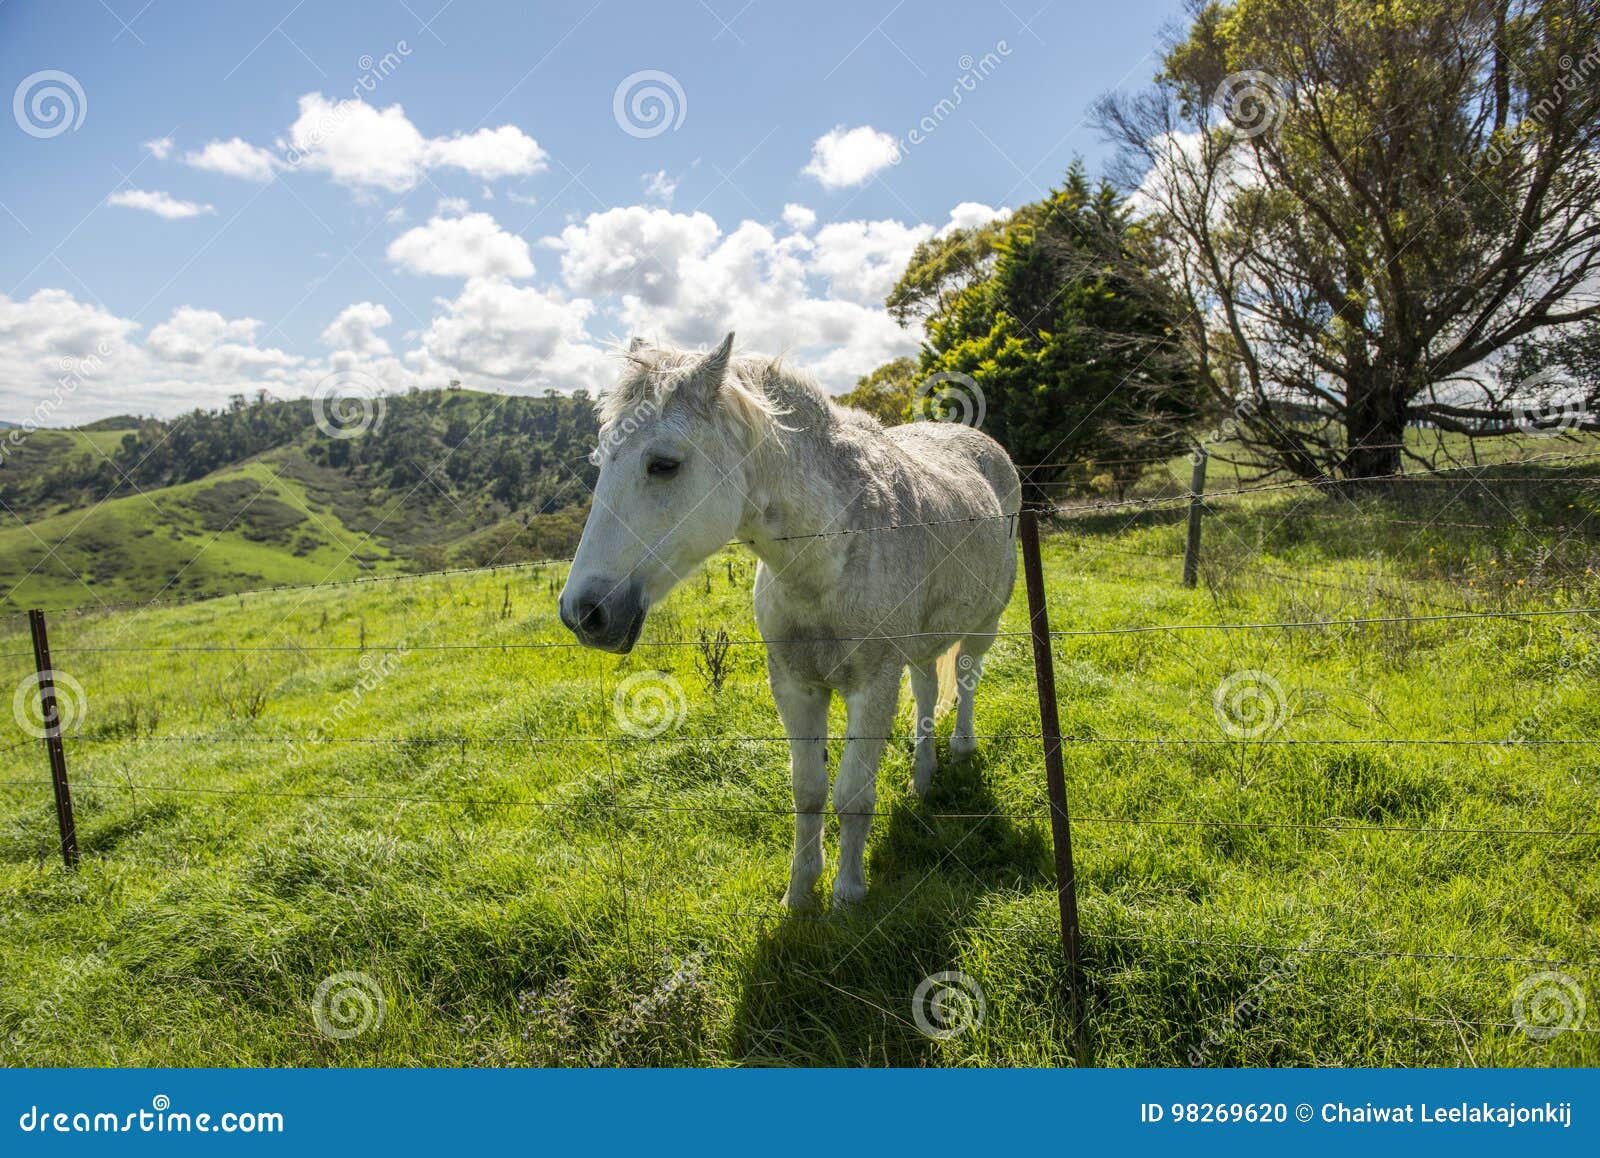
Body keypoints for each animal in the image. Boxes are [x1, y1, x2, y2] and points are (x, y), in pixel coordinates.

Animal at [559, 333, 1021, 906]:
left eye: (663, 464)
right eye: (603, 460)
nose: (583, 613)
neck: (826, 557)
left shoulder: (873, 686)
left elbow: (852, 795)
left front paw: (847, 894)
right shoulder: (795, 687)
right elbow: (808, 792)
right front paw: (799, 894)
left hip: (984, 626)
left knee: (966, 679)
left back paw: (959, 752)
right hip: (920, 644)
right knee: (929, 689)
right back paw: (923, 778)